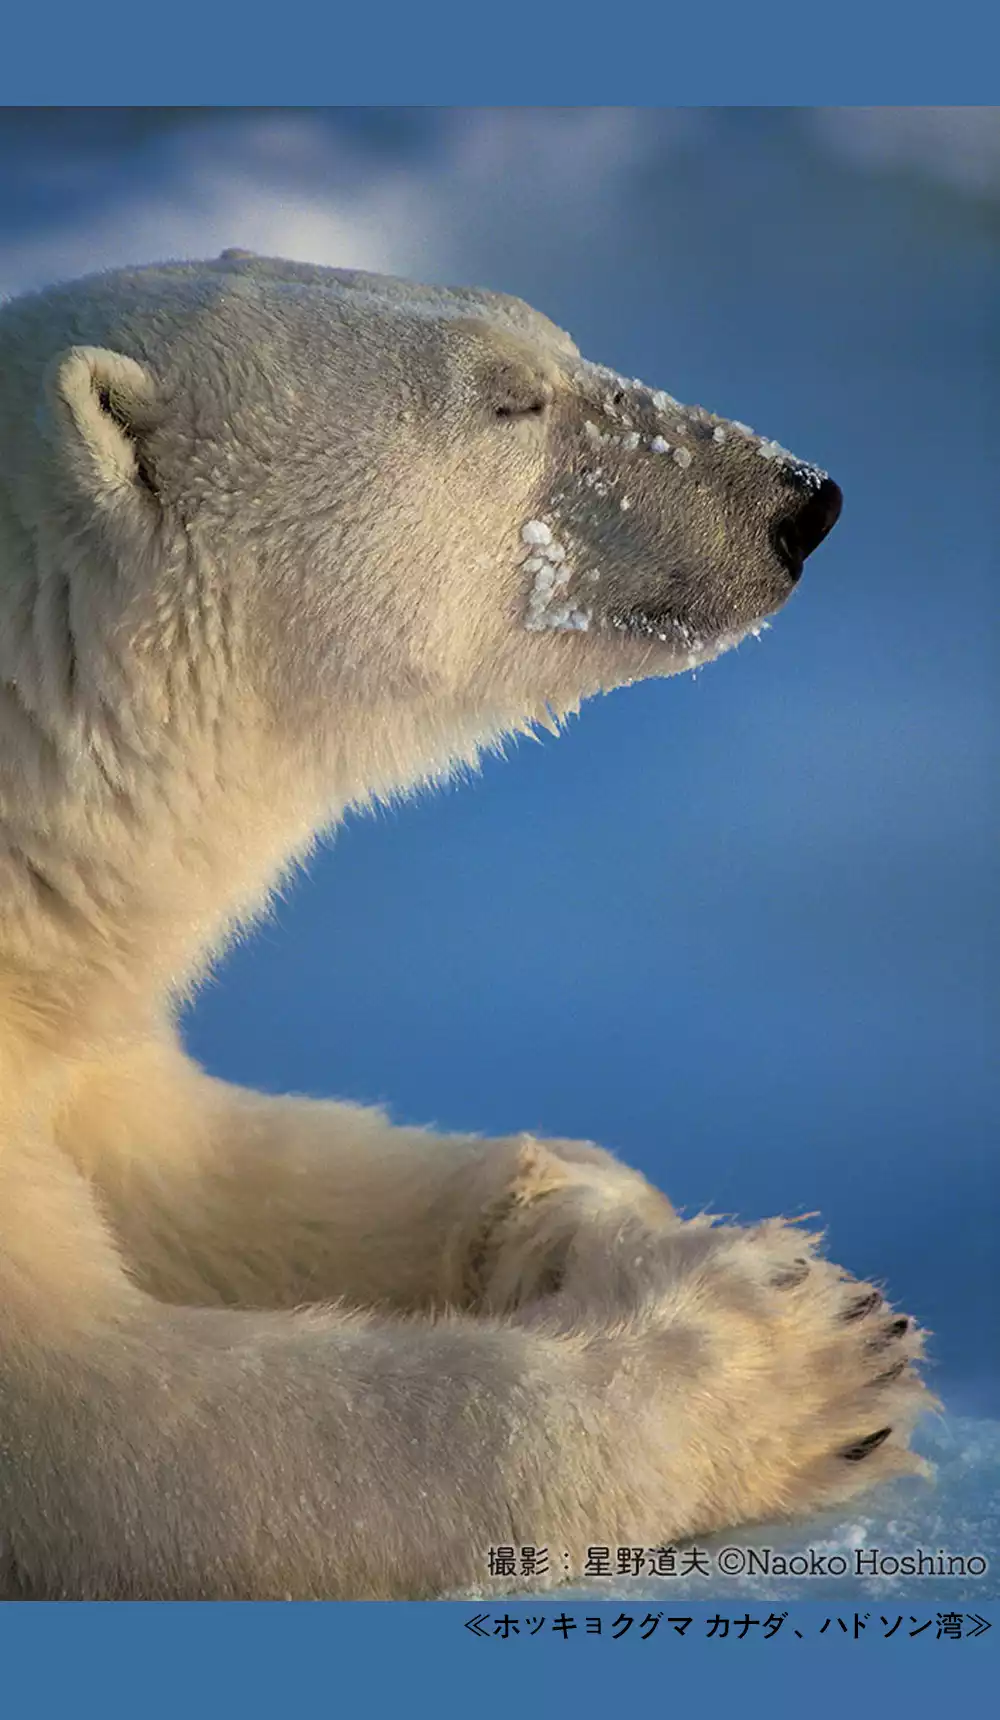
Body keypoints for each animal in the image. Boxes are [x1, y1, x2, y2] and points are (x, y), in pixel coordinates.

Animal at [0, 251, 929, 1596]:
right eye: (507, 400)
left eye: (552, 343)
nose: (799, 503)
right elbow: (140, 1436)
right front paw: (797, 1348)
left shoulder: (78, 1022)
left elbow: (215, 1169)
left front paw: (583, 1213)